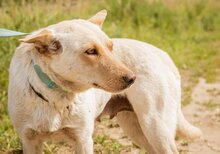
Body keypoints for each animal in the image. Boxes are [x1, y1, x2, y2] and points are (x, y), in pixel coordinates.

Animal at [8, 10, 201, 153]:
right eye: (91, 51)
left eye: (110, 47)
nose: (132, 78)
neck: (56, 97)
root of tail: (162, 54)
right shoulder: (30, 141)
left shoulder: (83, 140)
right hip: (136, 128)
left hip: (156, 127)